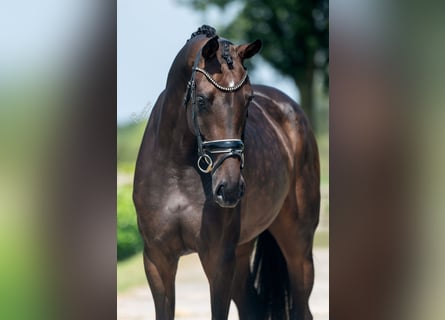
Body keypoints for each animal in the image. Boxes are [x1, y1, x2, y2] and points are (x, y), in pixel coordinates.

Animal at [133, 25, 320, 320]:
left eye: (248, 99)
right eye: (201, 100)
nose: (230, 188)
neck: (177, 169)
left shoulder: (218, 260)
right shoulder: (157, 260)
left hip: (298, 243)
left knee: (302, 307)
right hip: (242, 251)